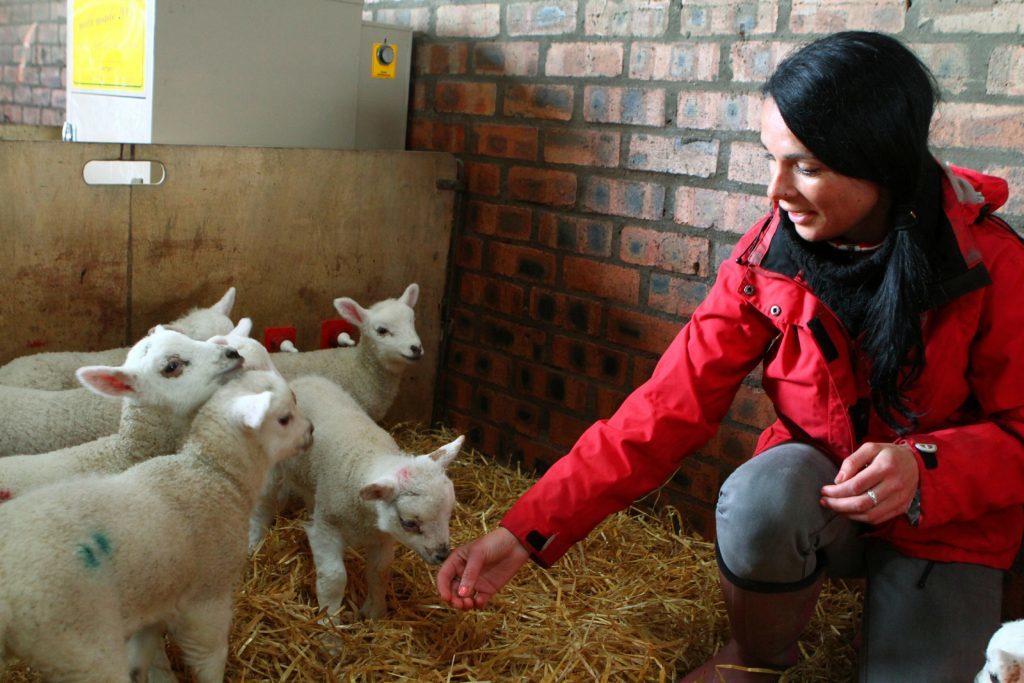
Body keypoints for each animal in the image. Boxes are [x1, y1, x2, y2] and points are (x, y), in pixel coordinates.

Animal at [0, 368, 313, 683]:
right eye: (284, 418)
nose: (311, 430)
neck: (213, 472)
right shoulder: (208, 598)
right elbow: (210, 657)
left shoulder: (159, 599)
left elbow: (141, 658)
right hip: (78, 642)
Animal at [250, 374, 464, 618]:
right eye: (409, 523)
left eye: (449, 514)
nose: (442, 555)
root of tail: (303, 379)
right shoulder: (327, 529)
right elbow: (334, 578)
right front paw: (330, 622)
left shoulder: (383, 537)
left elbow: (379, 573)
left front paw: (376, 613)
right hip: (273, 468)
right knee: (263, 504)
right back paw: (254, 543)